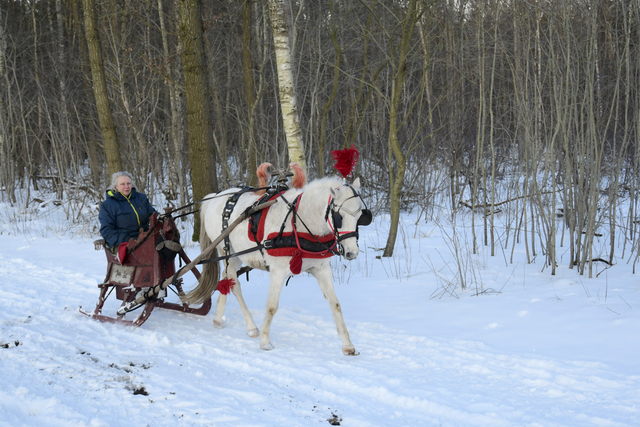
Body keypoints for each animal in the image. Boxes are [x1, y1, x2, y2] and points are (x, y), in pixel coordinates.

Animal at [181, 166, 370, 356]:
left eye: (360, 216)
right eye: (339, 217)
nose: (352, 253)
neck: (299, 221)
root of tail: (214, 196)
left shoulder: (321, 269)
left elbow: (335, 304)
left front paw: (347, 345)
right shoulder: (278, 271)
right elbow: (272, 306)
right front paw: (265, 341)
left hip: (236, 256)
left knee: (226, 281)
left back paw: (219, 319)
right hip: (227, 252)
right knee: (234, 285)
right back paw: (251, 327)